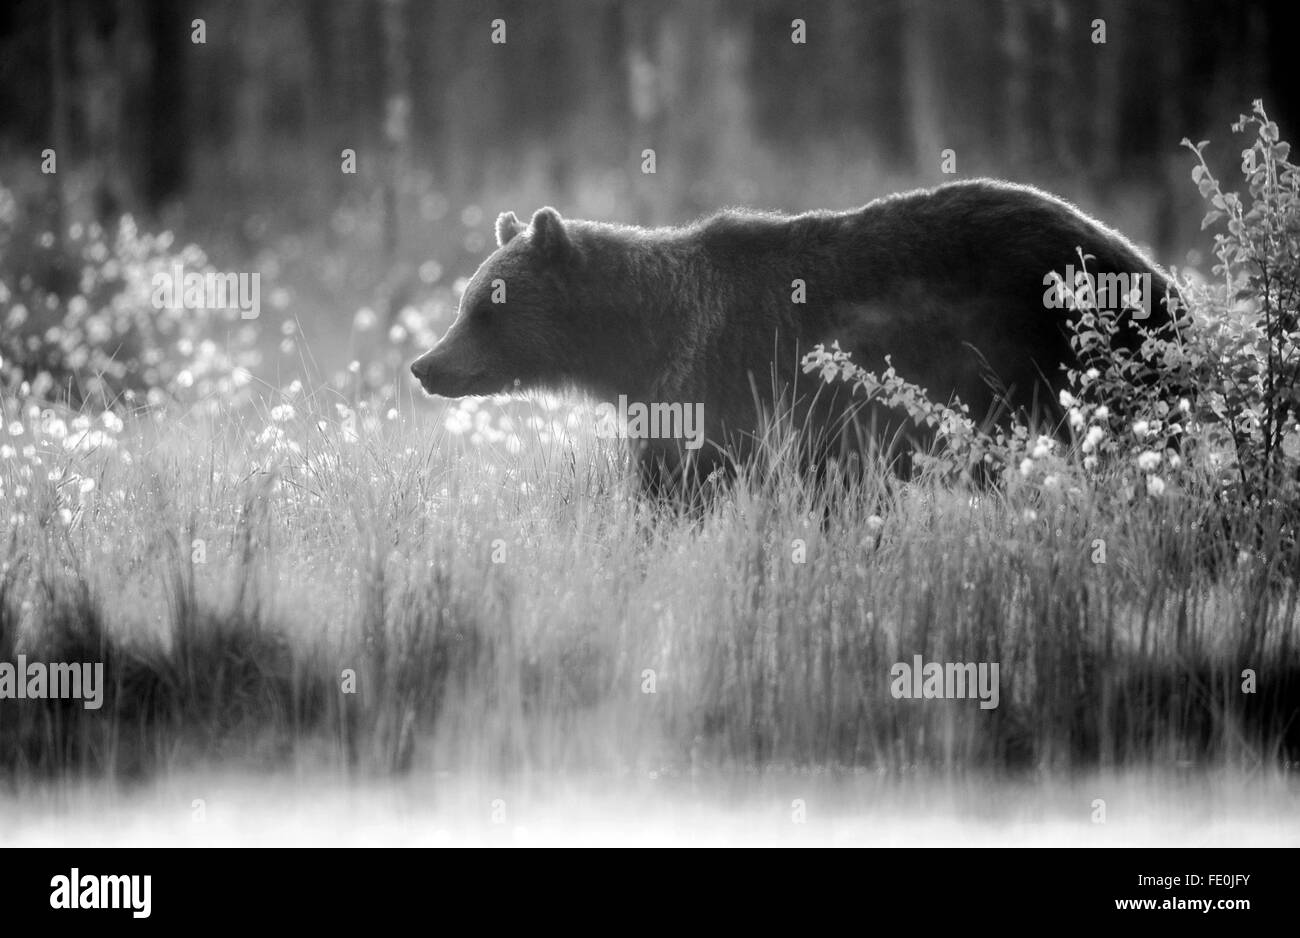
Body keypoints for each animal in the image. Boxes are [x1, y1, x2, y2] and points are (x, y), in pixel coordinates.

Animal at [413, 177, 1180, 493]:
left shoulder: (720, 380)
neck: (637, 345)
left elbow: (682, 483)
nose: (425, 364)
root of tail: (1155, 269)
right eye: (465, 302)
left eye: (484, 309)